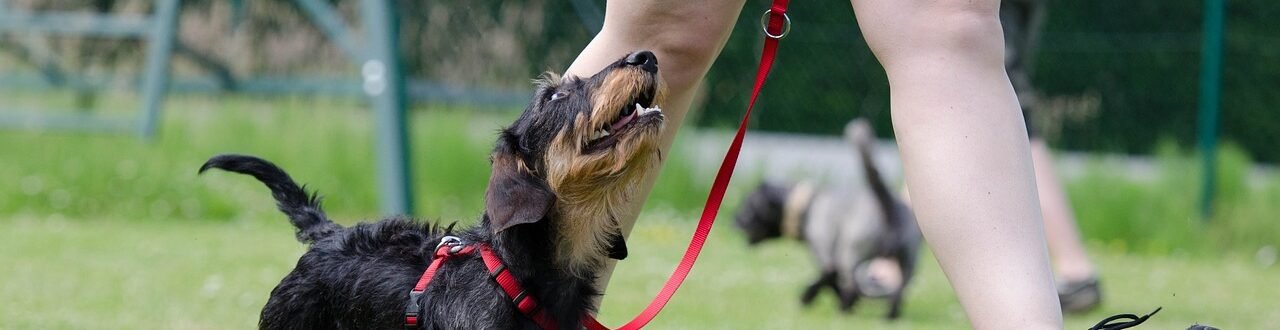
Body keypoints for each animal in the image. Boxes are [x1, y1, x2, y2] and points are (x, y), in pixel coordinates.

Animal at [732, 118, 921, 319]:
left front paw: (808, 297)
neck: (807, 206)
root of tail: (886, 201)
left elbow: (828, 280)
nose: (733, 221)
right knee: (898, 291)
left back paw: (843, 308)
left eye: (747, 207)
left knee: (853, 285)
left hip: (851, 254)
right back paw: (889, 316)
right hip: (907, 262)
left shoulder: (826, 256)